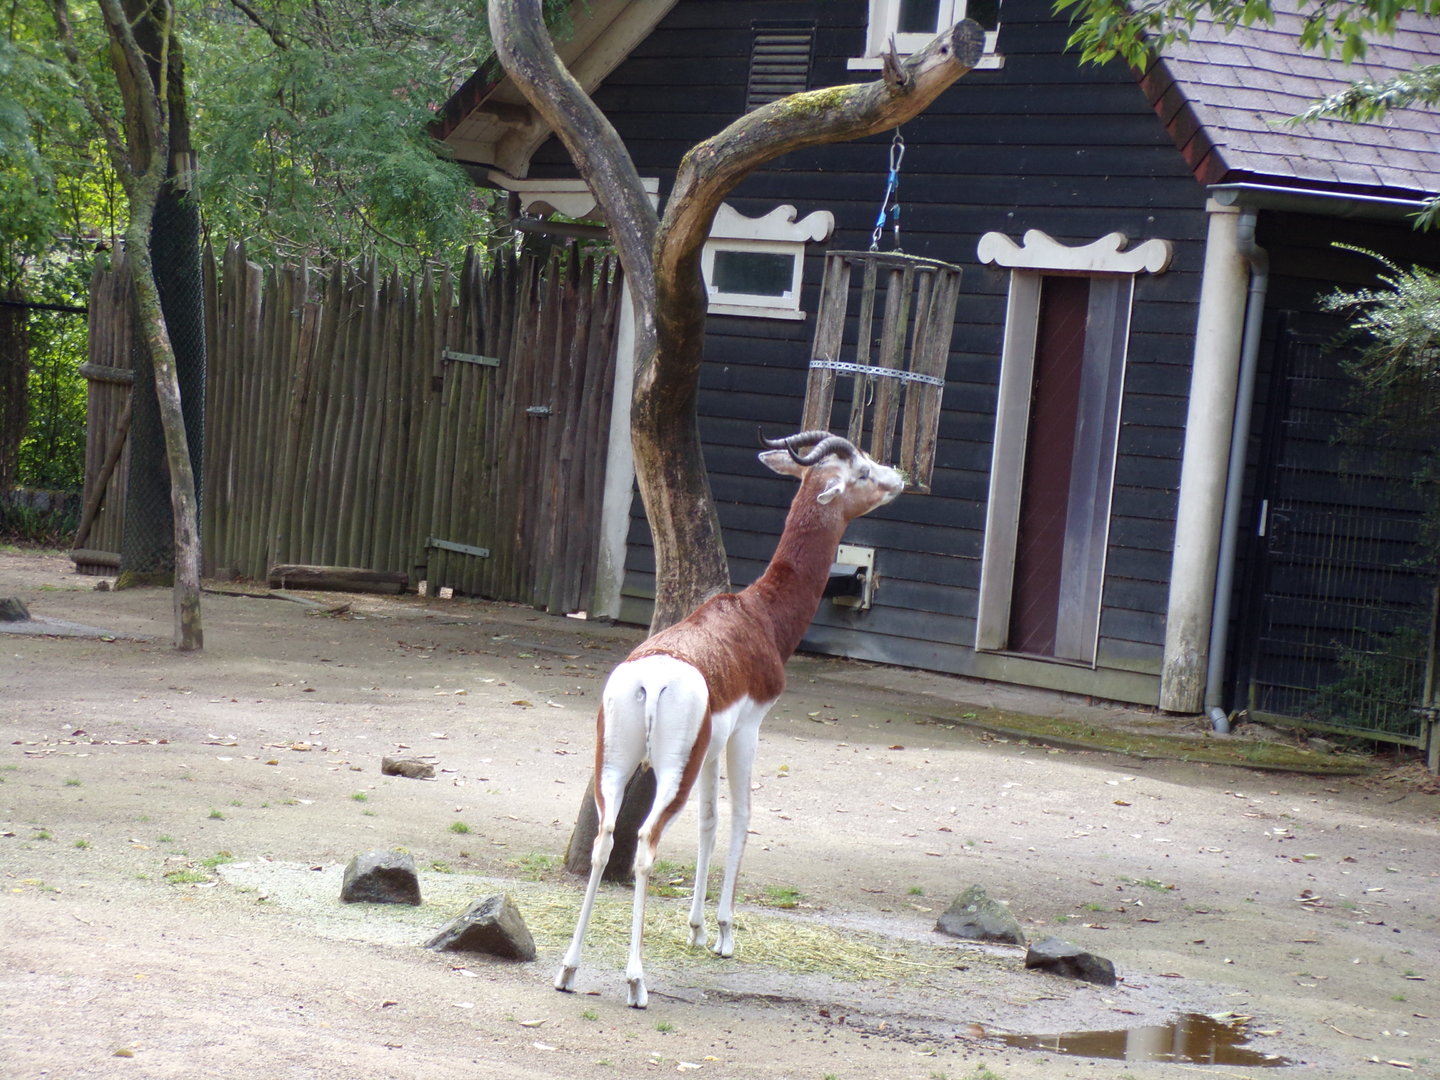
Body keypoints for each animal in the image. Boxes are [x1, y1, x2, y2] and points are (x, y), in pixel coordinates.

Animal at [554, 431, 905, 1007]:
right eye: (859, 471)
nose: (896, 477)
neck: (757, 616)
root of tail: (651, 679)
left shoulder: (712, 747)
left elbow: (709, 823)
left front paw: (695, 928)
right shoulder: (748, 732)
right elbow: (741, 818)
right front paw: (722, 933)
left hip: (618, 763)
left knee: (607, 841)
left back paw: (568, 969)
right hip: (671, 770)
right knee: (645, 844)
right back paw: (636, 981)